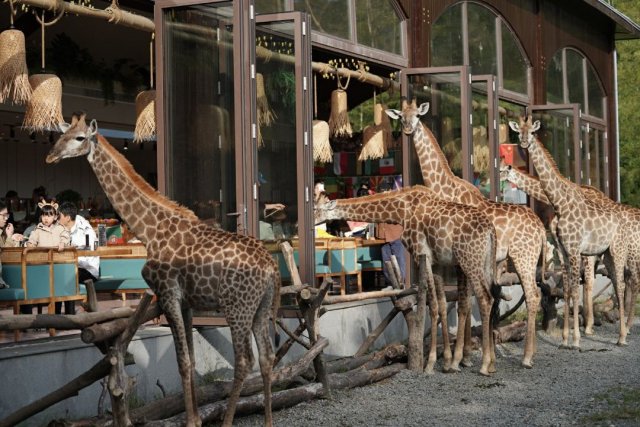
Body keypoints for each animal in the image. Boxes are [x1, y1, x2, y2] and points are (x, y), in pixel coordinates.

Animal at [46, 113, 278, 427]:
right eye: (62, 134)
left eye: (80, 137)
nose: (51, 155)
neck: (149, 231)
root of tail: (271, 268)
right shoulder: (187, 301)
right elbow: (191, 359)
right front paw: (195, 418)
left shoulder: (167, 293)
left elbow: (182, 361)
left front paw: (192, 421)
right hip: (261, 307)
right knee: (267, 358)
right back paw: (267, 420)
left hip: (236, 307)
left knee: (245, 360)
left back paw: (228, 420)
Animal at [316, 187, 500, 378]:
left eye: (316, 209)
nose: (312, 223)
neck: (402, 211)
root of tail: (491, 230)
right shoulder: (437, 263)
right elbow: (442, 304)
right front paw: (448, 362)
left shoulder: (422, 255)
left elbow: (432, 306)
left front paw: (430, 364)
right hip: (484, 262)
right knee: (492, 298)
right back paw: (491, 363)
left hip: (469, 260)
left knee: (485, 298)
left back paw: (484, 365)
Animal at [384, 99, 544, 368]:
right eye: (400, 116)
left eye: (416, 115)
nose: (407, 129)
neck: (444, 187)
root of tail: (542, 229)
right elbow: (465, 303)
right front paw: (467, 355)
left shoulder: (458, 259)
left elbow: (463, 304)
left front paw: (461, 358)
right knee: (536, 293)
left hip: (524, 257)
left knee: (532, 295)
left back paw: (527, 357)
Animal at [510, 115, 632, 350]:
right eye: (518, 131)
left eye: (532, 132)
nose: (523, 143)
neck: (559, 202)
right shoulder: (564, 251)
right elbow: (567, 290)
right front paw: (566, 338)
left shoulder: (576, 250)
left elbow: (576, 289)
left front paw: (576, 338)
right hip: (608, 254)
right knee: (618, 282)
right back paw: (620, 333)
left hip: (619, 250)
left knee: (621, 283)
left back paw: (623, 335)